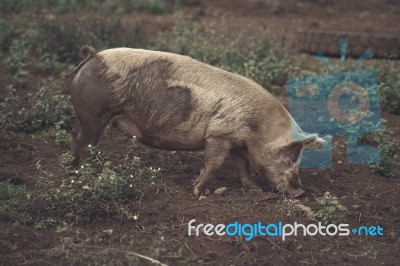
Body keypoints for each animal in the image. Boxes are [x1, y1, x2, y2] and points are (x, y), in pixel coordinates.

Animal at [61, 45, 324, 198]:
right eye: (290, 158)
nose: (300, 193)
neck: (257, 127)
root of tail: (91, 57)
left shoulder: (236, 141)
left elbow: (243, 164)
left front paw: (254, 189)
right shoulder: (218, 135)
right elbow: (214, 163)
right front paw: (198, 191)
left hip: (88, 116)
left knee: (75, 134)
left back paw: (73, 168)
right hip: (94, 113)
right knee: (86, 142)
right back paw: (87, 173)